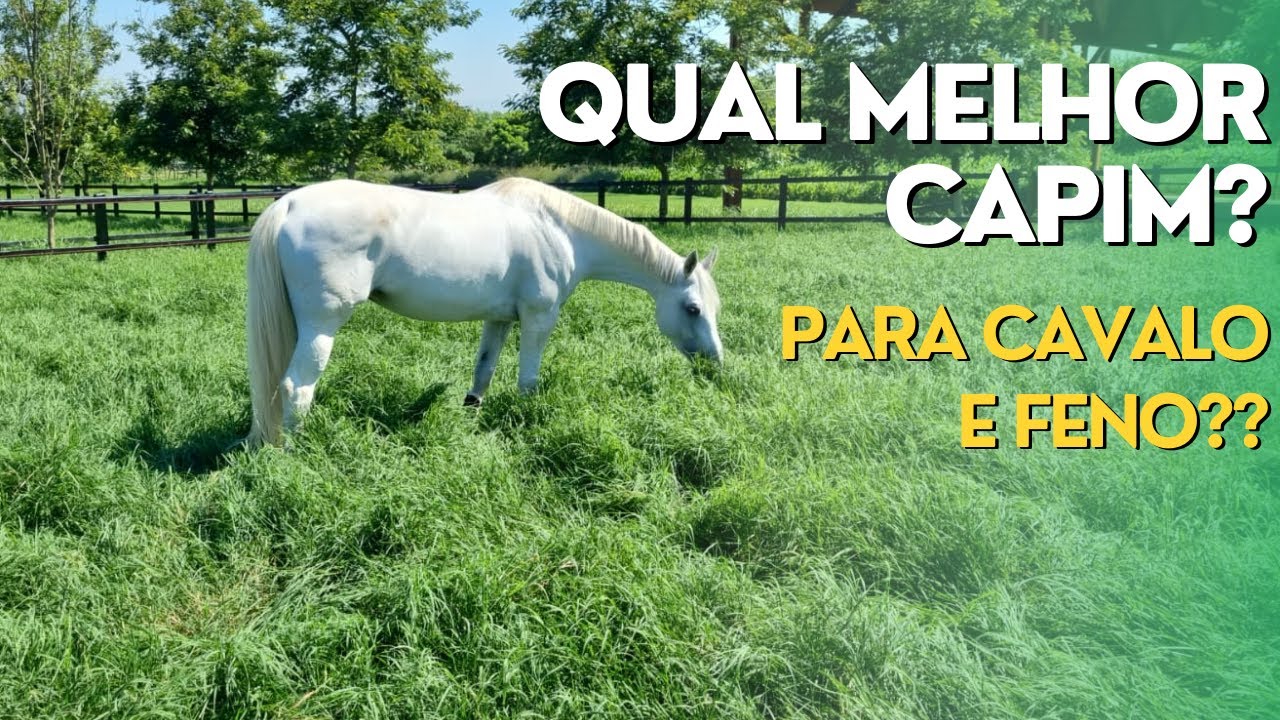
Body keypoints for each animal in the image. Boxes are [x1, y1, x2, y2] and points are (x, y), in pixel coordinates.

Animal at [242, 177, 723, 448]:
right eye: (693, 308)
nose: (714, 364)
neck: (560, 229)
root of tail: (289, 204)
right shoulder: (539, 318)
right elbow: (528, 381)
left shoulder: (500, 319)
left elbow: (483, 373)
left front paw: (471, 418)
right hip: (321, 326)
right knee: (297, 387)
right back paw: (295, 453)